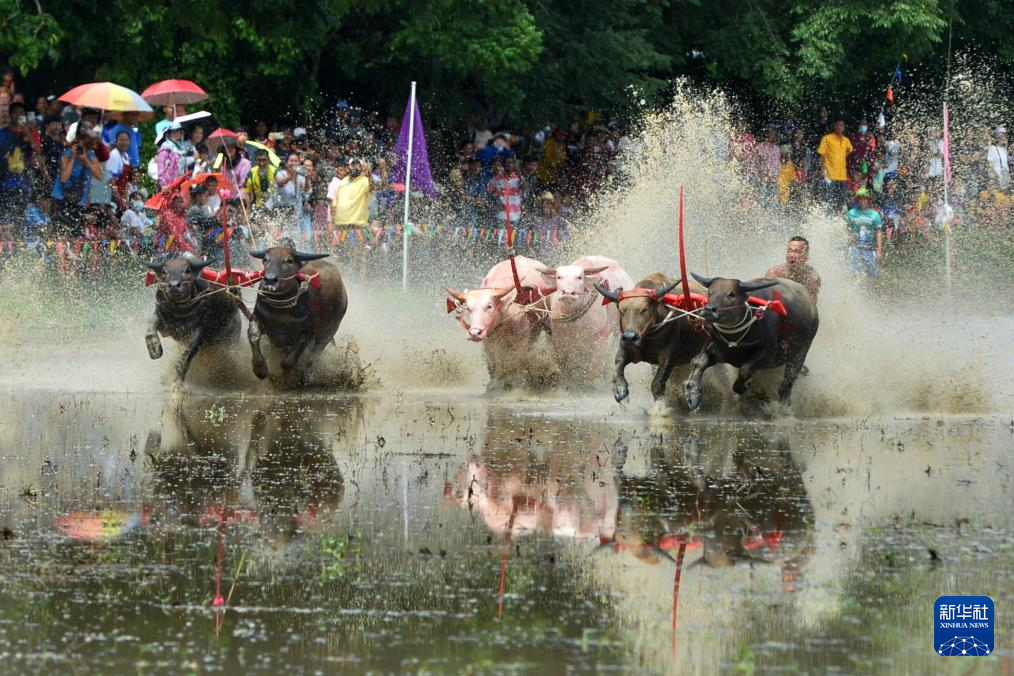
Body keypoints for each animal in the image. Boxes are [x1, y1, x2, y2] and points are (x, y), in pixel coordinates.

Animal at [145, 253, 241, 389]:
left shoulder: (200, 332)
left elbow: (185, 359)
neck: (180, 311)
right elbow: (150, 326)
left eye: (187, 270)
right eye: (164, 271)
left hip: (230, 341)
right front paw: (154, 349)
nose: (174, 285)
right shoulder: (163, 319)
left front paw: (177, 387)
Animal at [248, 240, 348, 383]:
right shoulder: (257, 318)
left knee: (314, 355)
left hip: (329, 332)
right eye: (266, 259)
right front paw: (260, 369)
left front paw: (287, 375)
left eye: (289, 260)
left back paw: (306, 377)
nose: (270, 279)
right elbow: (254, 336)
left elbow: (288, 361)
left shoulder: (306, 334)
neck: (280, 312)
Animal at [592, 273, 709, 401]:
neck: (648, 337)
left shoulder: (669, 356)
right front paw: (620, 390)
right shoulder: (626, 347)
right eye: (622, 310)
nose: (630, 337)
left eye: (644, 309)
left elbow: (657, 384)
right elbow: (618, 364)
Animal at [681, 275, 815, 413]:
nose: (709, 309)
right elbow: (700, 362)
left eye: (732, 294)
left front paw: (744, 386)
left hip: (799, 355)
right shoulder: (718, 349)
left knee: (787, 385)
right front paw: (692, 395)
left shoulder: (768, 353)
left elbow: (745, 370)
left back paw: (784, 406)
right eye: (710, 292)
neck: (736, 338)